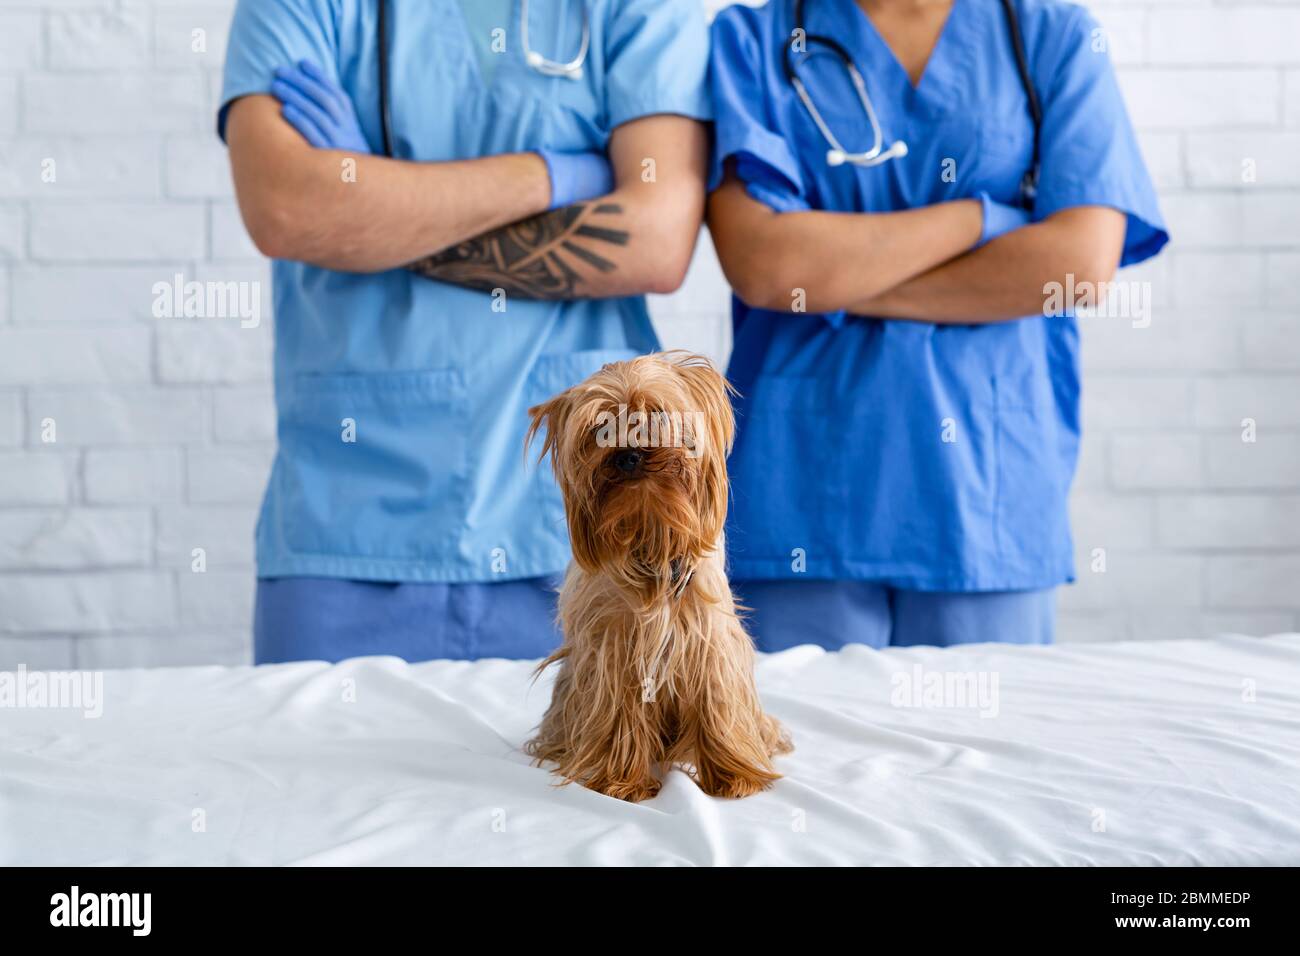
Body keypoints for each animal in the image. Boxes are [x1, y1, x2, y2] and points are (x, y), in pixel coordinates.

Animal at [520, 351, 785, 801]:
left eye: (657, 415)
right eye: (600, 429)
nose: (628, 454)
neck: (650, 531)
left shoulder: (709, 639)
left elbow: (717, 701)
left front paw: (734, 775)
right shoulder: (613, 647)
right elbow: (619, 711)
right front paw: (623, 781)